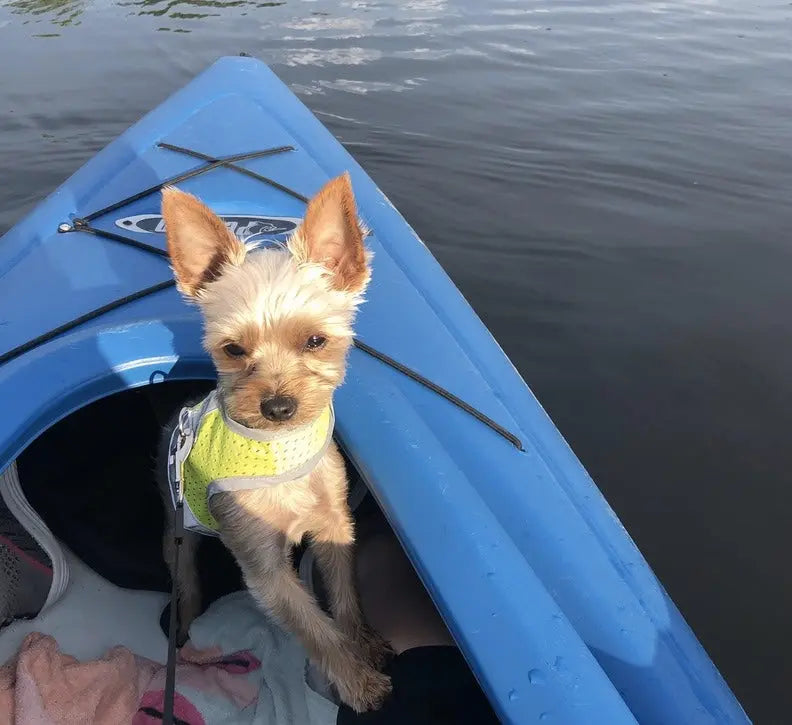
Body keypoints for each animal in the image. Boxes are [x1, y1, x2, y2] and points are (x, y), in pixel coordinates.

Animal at [160, 175, 392, 712]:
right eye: (233, 349)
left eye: (315, 341)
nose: (278, 406)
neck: (277, 454)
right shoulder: (265, 572)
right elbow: (316, 628)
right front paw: (357, 681)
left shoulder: (335, 527)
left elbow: (344, 595)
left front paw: (362, 643)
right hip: (176, 537)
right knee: (189, 585)